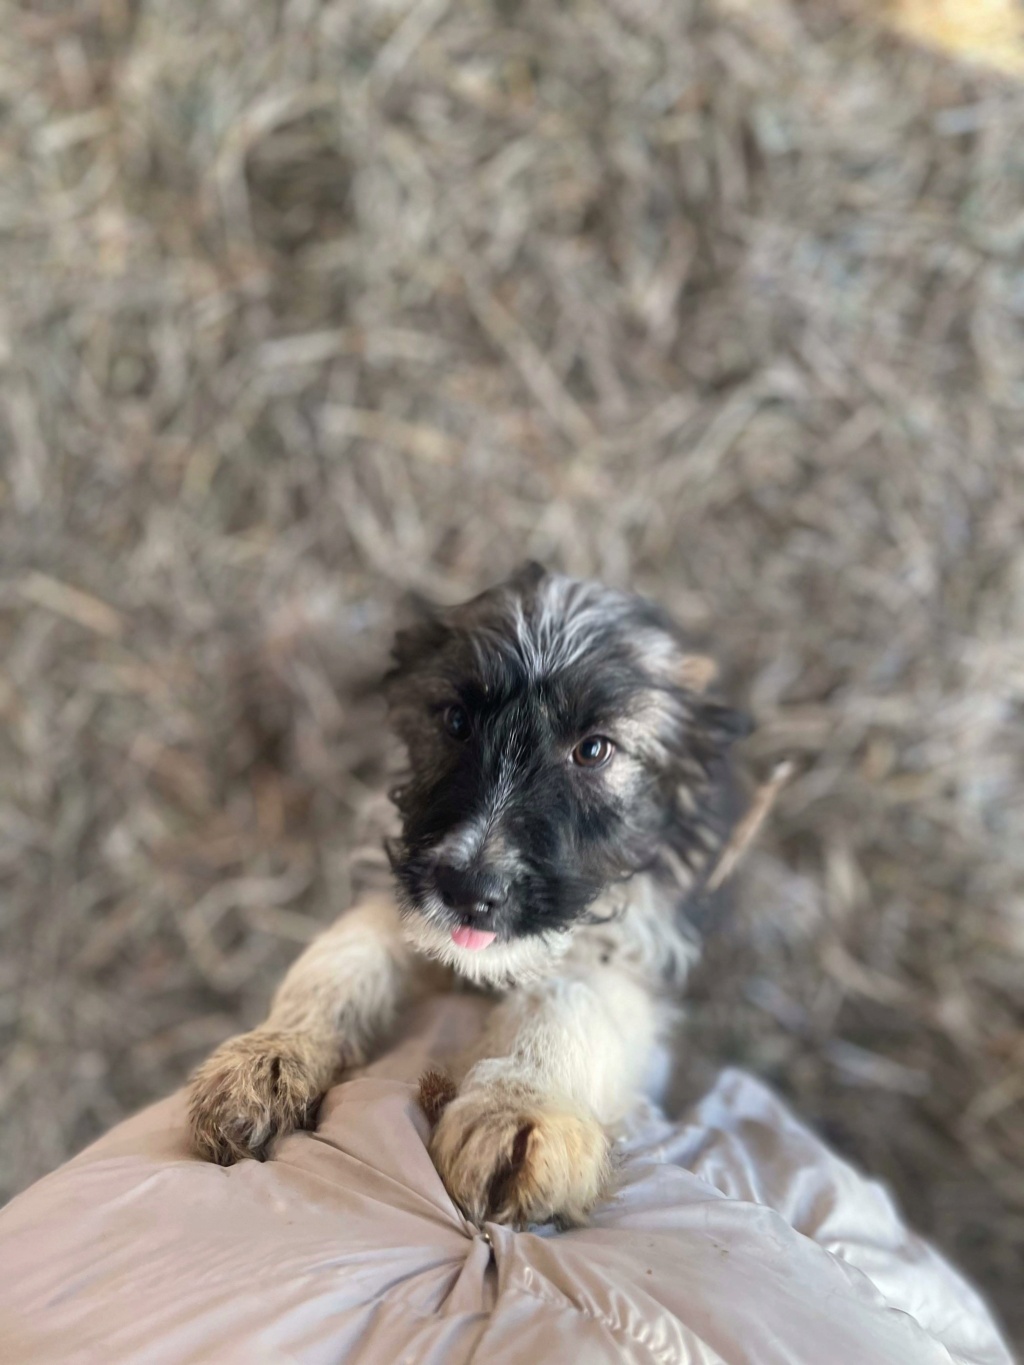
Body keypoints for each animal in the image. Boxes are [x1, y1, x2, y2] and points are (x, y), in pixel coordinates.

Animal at [188, 562, 753, 1228]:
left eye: (594, 749)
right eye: (456, 720)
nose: (469, 891)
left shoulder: (627, 954)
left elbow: (568, 1000)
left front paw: (520, 1107)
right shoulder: (401, 900)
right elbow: (343, 956)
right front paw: (270, 1054)